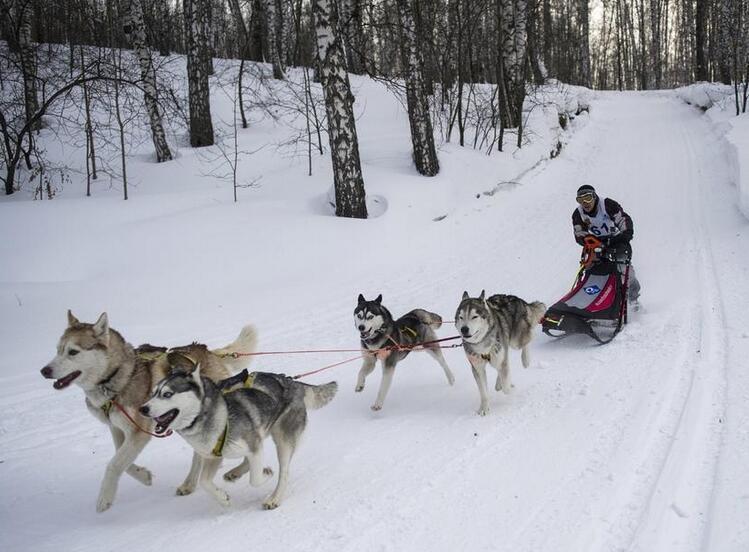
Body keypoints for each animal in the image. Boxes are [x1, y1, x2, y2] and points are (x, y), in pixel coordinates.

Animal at [41, 312, 258, 512]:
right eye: (58, 350)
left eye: (73, 352)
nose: (44, 371)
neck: (120, 376)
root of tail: (210, 353)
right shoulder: (117, 428)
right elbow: (122, 460)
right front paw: (143, 475)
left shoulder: (138, 433)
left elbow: (113, 464)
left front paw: (105, 498)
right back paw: (189, 484)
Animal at [140, 354, 336, 508]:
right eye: (153, 393)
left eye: (167, 394)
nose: (143, 409)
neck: (219, 416)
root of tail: (292, 382)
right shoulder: (214, 456)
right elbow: (204, 481)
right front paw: (223, 498)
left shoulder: (252, 446)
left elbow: (255, 479)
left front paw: (265, 473)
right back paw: (234, 473)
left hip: (283, 441)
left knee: (284, 472)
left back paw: (274, 498)